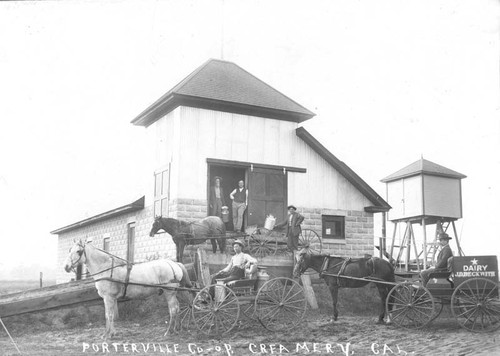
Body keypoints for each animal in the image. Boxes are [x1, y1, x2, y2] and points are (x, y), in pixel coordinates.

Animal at [63, 241, 192, 338]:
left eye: (78, 251)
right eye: (69, 250)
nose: (66, 267)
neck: (107, 269)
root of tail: (173, 264)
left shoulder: (109, 298)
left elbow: (109, 315)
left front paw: (109, 334)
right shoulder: (109, 299)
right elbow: (108, 315)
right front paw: (109, 333)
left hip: (169, 293)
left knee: (173, 310)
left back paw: (169, 331)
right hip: (175, 292)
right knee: (178, 307)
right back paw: (177, 329)